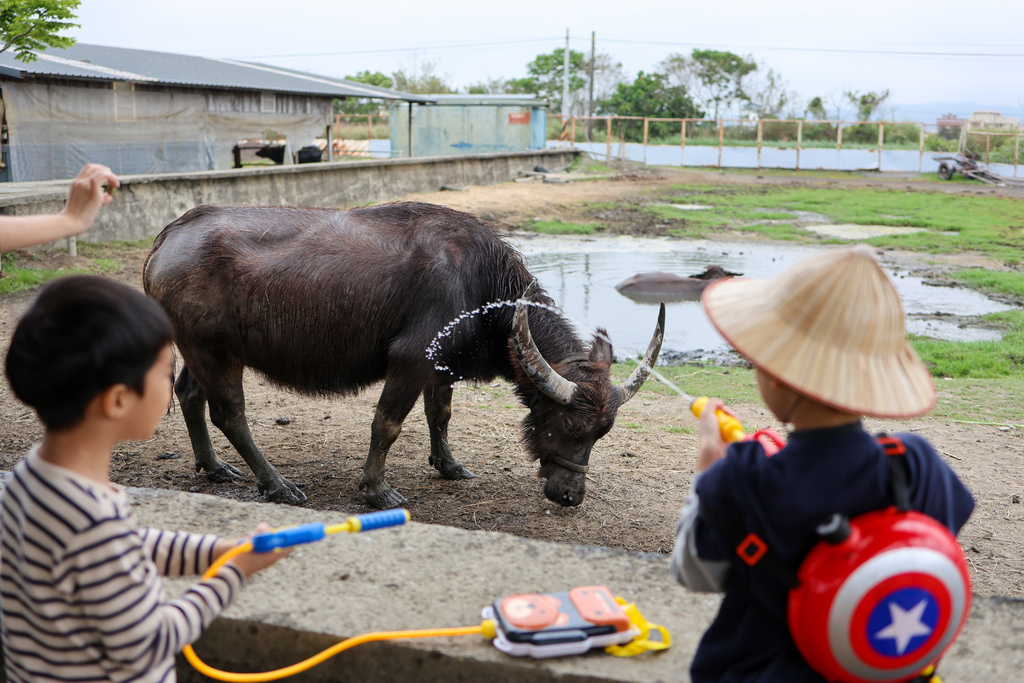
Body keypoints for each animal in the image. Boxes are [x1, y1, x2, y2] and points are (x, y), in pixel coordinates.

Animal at [144, 201, 667, 507]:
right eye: (571, 426)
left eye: (602, 433)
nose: (571, 496)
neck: (480, 284)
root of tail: (168, 237)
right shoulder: (411, 362)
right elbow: (388, 424)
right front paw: (377, 490)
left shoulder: (442, 366)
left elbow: (441, 414)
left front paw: (449, 465)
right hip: (214, 352)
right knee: (230, 414)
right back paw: (277, 484)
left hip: (198, 351)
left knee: (189, 395)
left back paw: (214, 468)